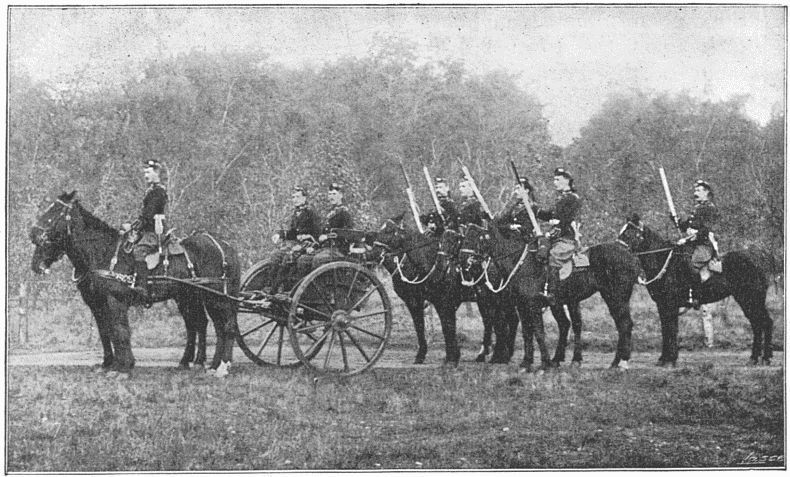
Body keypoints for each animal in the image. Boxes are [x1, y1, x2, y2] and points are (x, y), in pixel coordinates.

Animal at [29, 191, 241, 376]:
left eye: (53, 213)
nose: (33, 234)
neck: (102, 252)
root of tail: (226, 247)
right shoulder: (98, 304)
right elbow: (106, 332)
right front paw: (109, 364)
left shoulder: (115, 301)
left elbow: (120, 332)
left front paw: (124, 368)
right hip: (194, 297)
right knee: (208, 326)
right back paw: (204, 364)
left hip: (217, 297)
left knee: (227, 327)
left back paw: (222, 367)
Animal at [618, 214, 773, 366]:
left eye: (629, 232)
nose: (617, 249)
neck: (664, 262)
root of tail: (758, 260)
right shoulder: (662, 305)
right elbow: (665, 329)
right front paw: (664, 358)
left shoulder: (670, 305)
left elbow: (671, 329)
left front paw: (670, 359)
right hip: (747, 300)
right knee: (757, 323)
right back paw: (755, 358)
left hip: (750, 299)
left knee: (764, 322)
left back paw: (764, 358)